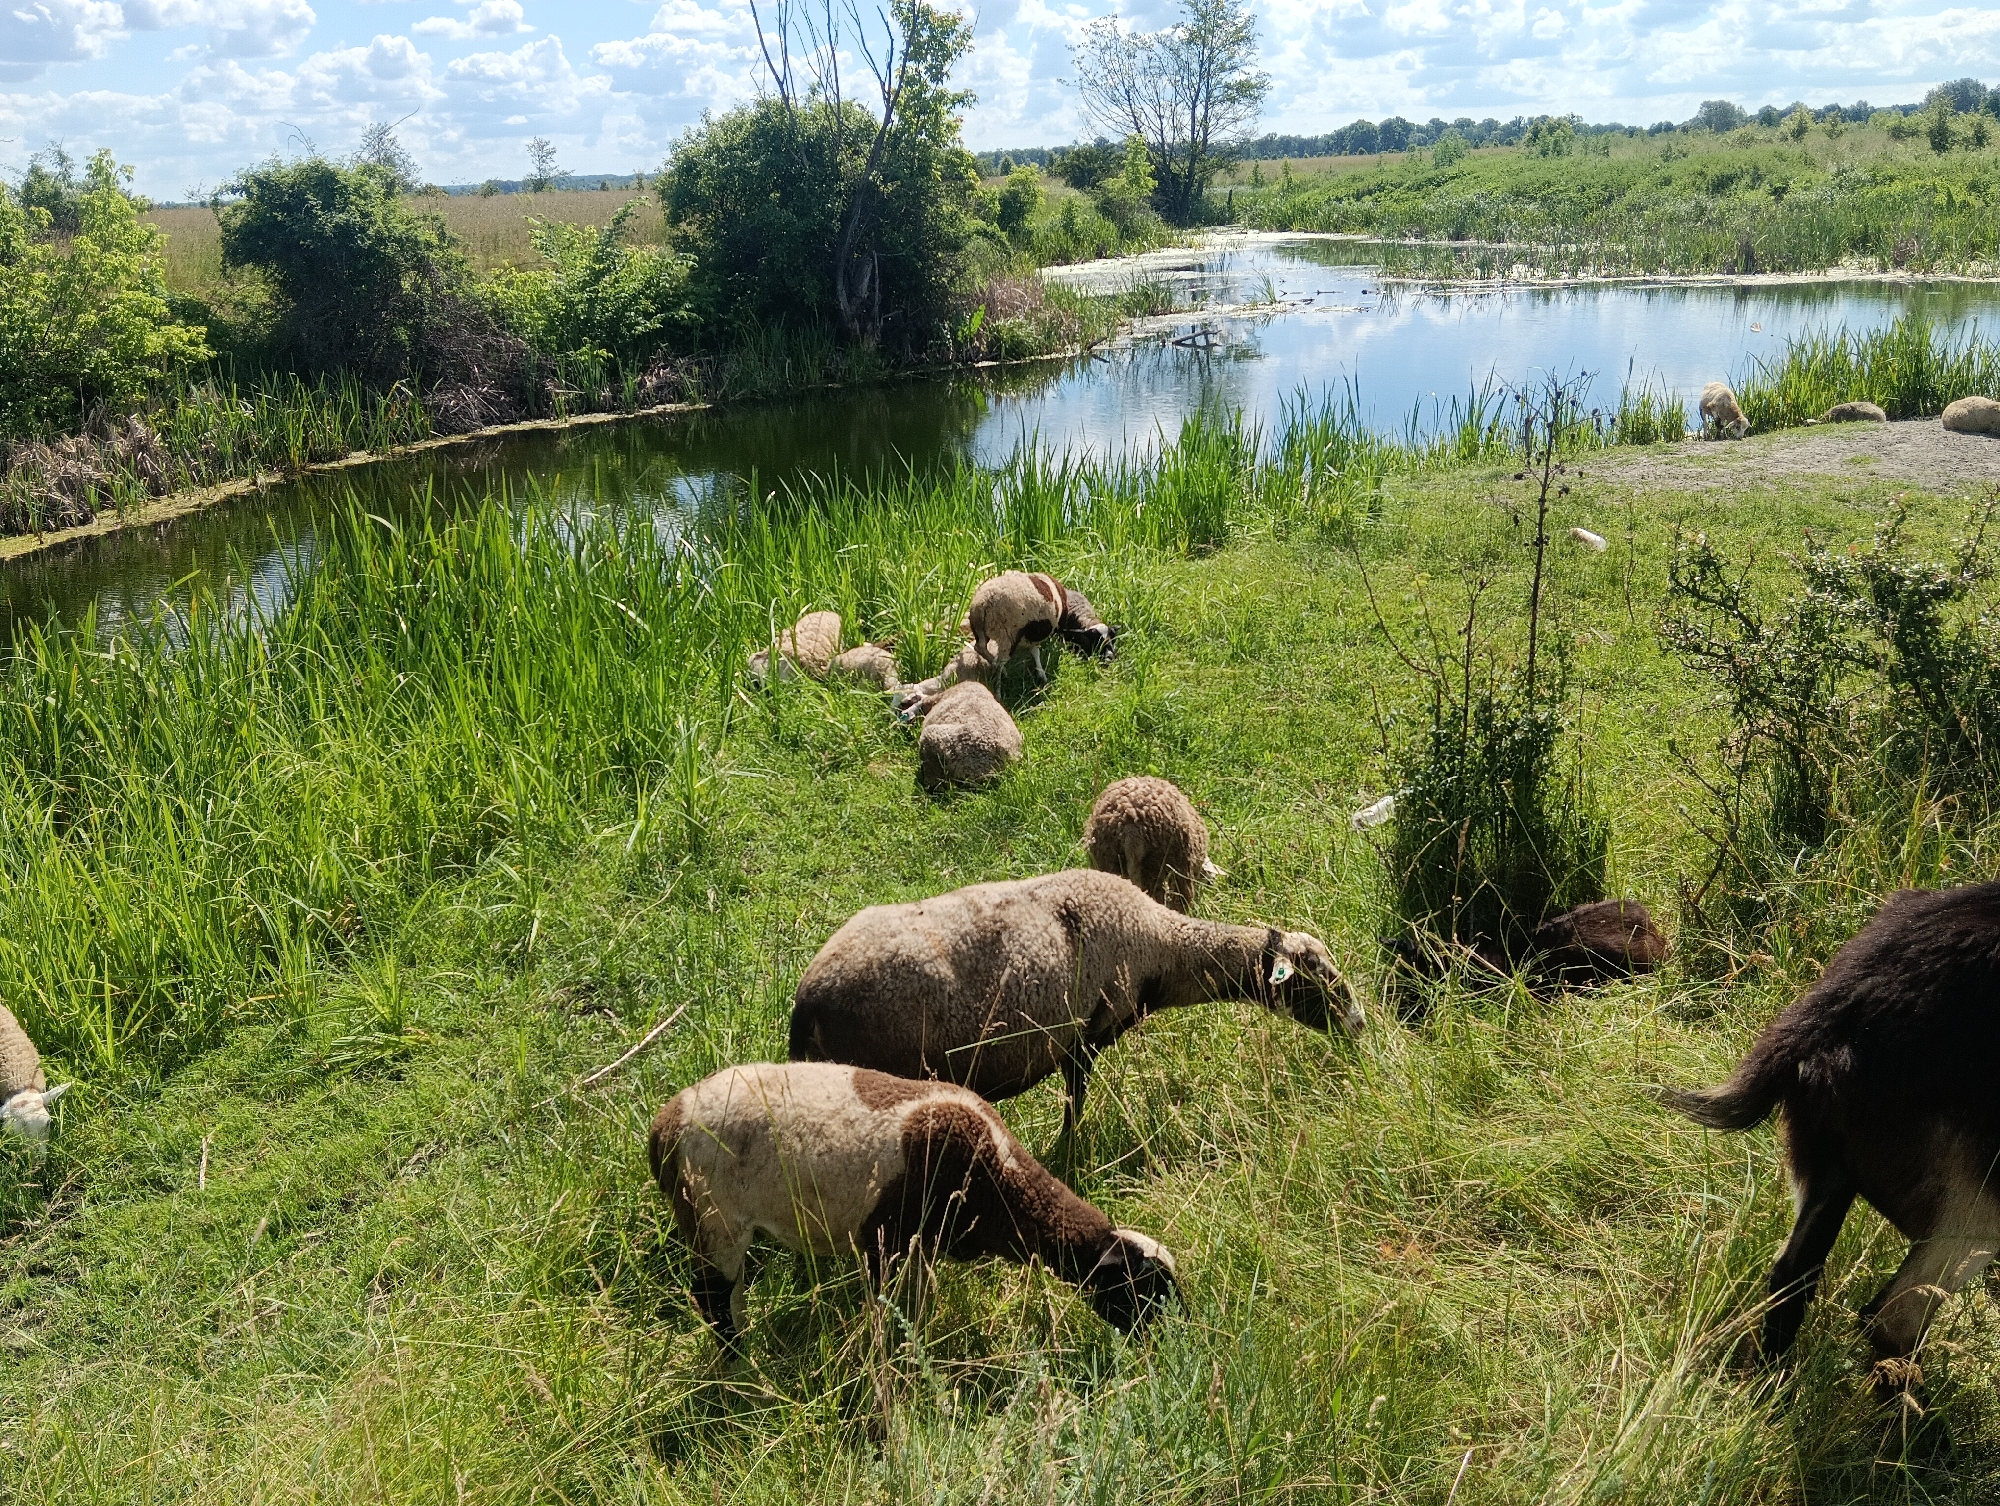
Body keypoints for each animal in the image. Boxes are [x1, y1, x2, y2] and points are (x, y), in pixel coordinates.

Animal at [649, 1061, 1182, 1345]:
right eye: (1143, 1289)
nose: (1170, 1341)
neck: (998, 1179)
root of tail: (664, 1128)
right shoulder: (884, 1240)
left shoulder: (919, 1245)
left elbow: (919, 1304)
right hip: (714, 1216)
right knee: (714, 1300)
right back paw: (743, 1373)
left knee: (730, 1298)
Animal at [790, 867, 1365, 1134]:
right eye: (1316, 977)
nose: (1360, 1025)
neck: (1159, 946)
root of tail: (807, 1001)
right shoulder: (1085, 1036)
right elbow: (1074, 1105)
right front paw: (1069, 1150)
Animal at [1658, 881, 2000, 1393]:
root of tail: (1822, 1022)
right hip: (1976, 1196)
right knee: (1891, 1317)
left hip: (1828, 1164)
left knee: (1793, 1275)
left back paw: (1769, 1390)